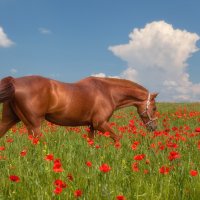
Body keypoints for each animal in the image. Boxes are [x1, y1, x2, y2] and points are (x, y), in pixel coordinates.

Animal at [0, 75, 158, 142]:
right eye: (155, 108)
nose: (154, 127)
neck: (107, 92)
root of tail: (14, 81)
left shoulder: (92, 126)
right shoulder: (101, 124)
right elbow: (117, 138)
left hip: (10, 120)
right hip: (34, 125)